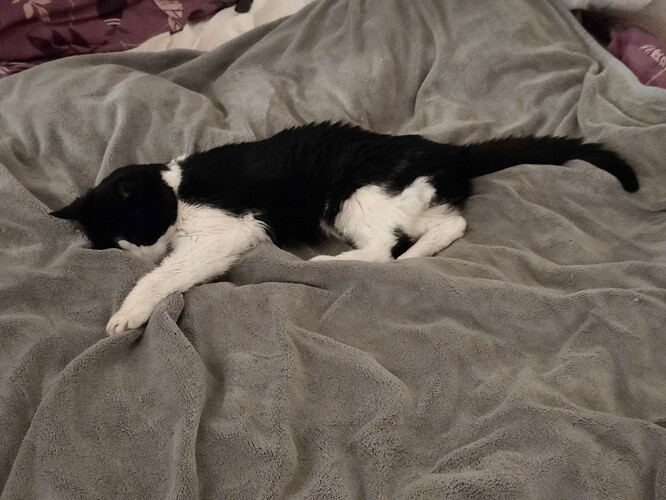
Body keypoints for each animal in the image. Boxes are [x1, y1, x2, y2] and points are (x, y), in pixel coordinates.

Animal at [49, 122, 636, 336]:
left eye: (134, 226)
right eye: (110, 242)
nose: (137, 252)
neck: (175, 185)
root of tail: (447, 152)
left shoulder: (223, 233)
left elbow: (165, 275)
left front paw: (127, 312)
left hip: (355, 197)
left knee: (379, 251)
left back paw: (335, 262)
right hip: (410, 200)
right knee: (452, 221)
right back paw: (420, 255)